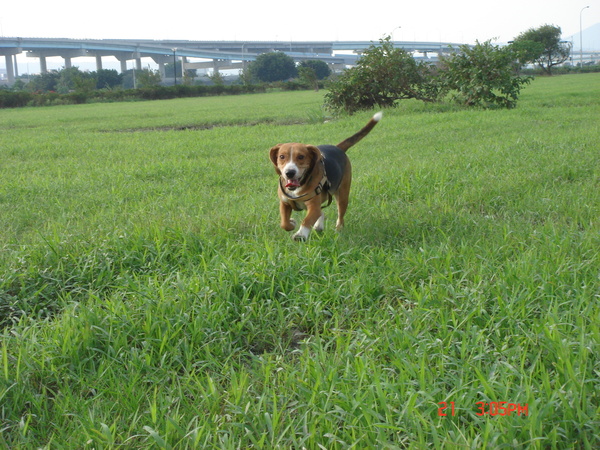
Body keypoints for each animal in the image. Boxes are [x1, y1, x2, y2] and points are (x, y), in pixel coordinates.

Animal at [270, 111, 382, 241]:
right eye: (282, 157)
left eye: (301, 157)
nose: (289, 172)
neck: (299, 186)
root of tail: (337, 147)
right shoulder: (284, 203)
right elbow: (284, 223)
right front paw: (292, 223)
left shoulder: (313, 206)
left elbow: (307, 220)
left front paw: (301, 234)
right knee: (322, 212)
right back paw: (319, 226)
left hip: (342, 195)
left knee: (340, 215)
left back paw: (338, 230)